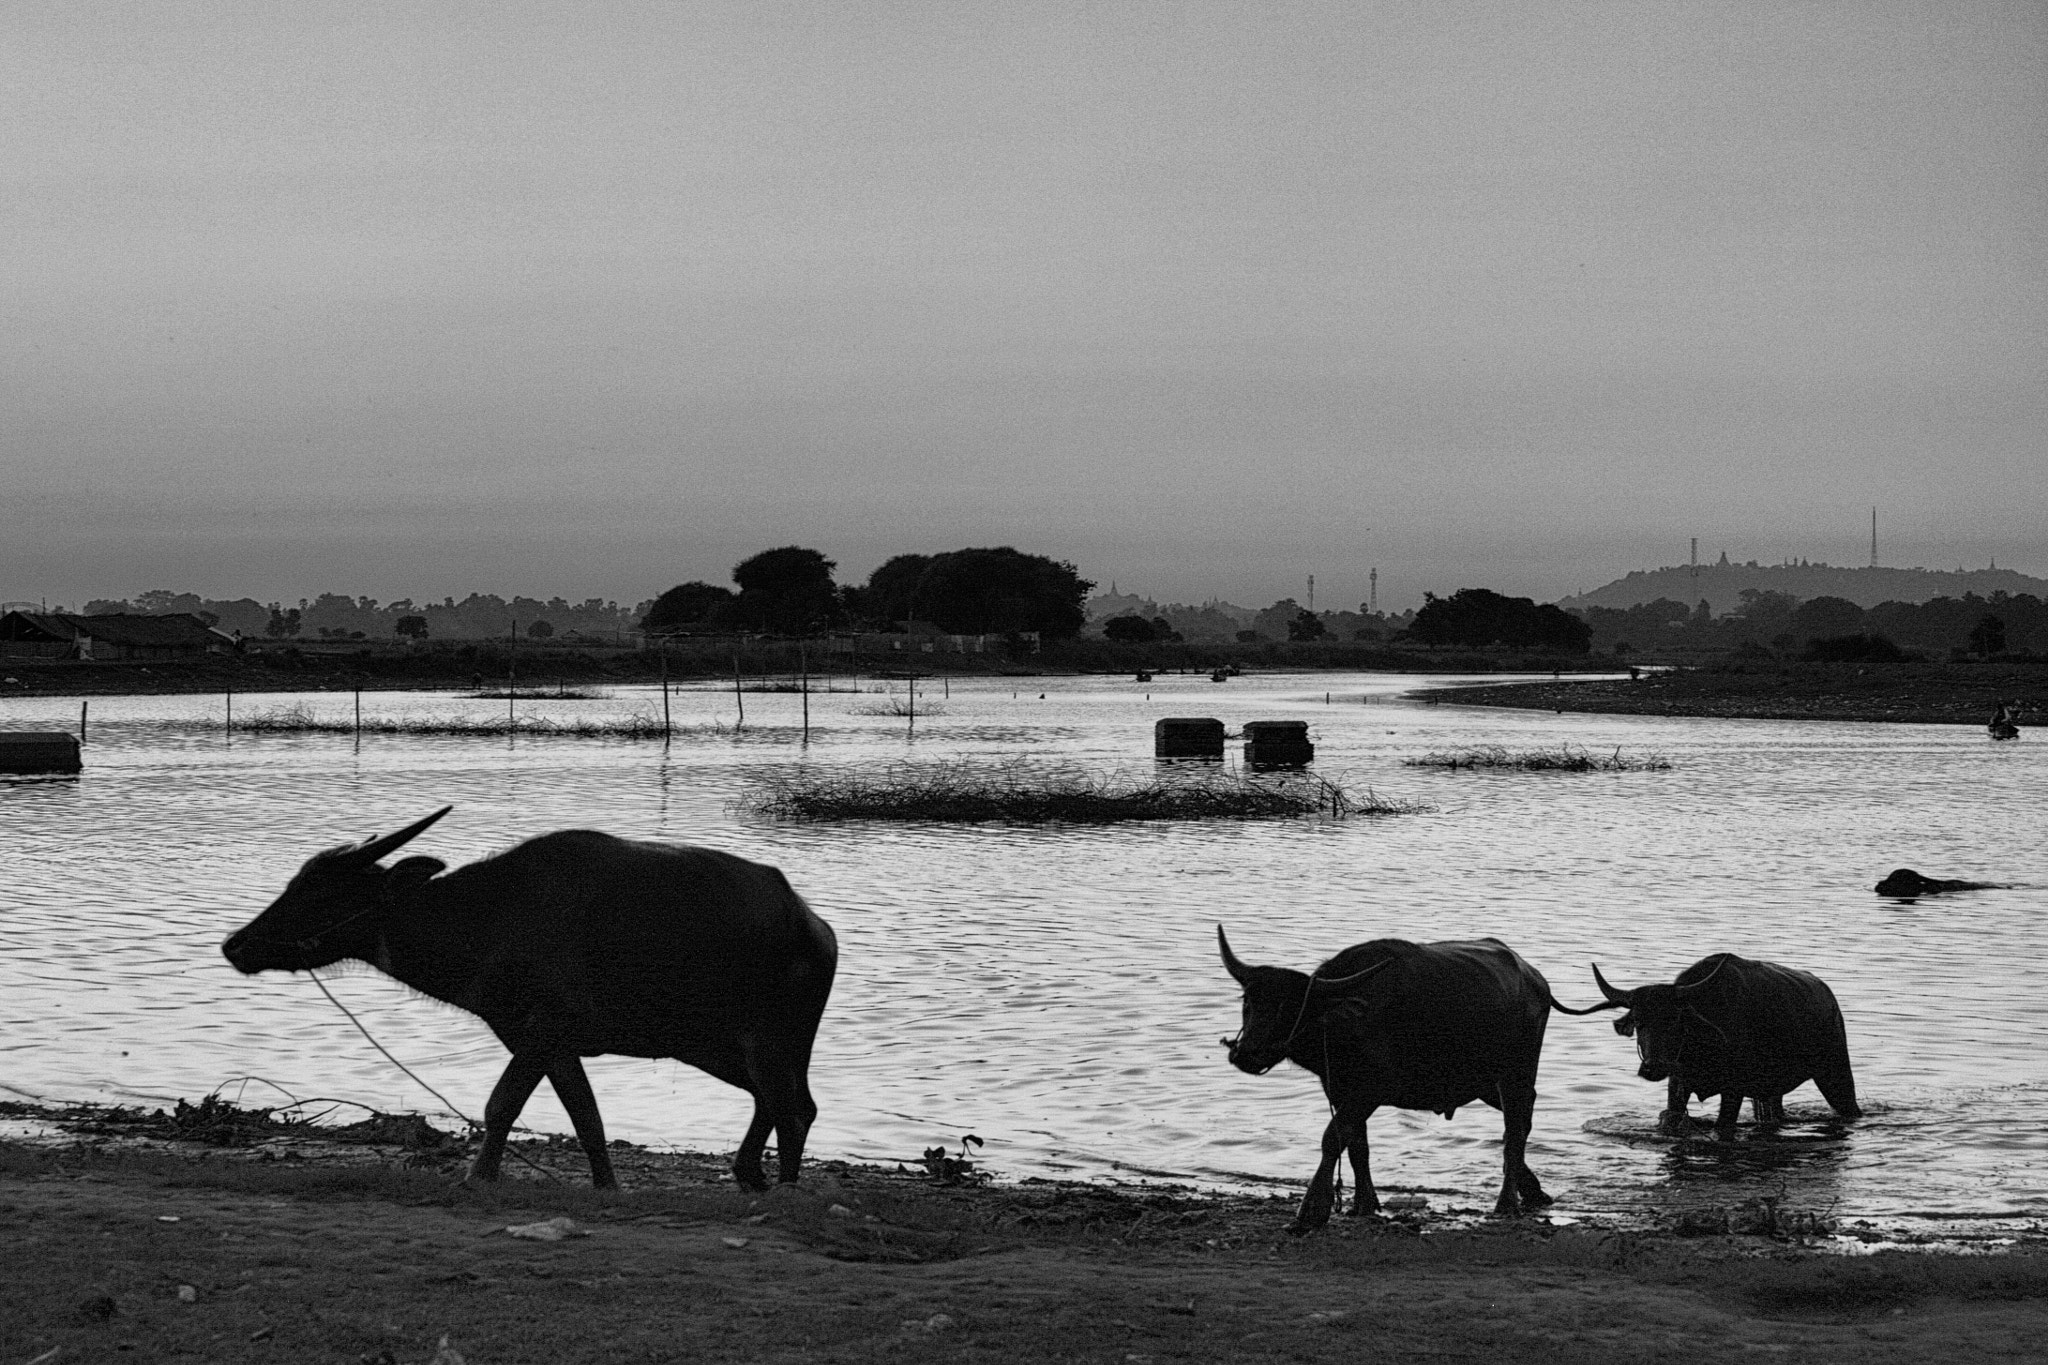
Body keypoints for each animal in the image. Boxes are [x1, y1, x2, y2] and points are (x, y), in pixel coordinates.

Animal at [222, 808, 838, 1191]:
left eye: (321, 892)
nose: (236, 944)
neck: (487, 919)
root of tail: (813, 925)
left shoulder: (543, 1032)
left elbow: (502, 1105)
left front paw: (477, 1176)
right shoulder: (546, 1041)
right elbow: (585, 1118)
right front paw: (605, 1185)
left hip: (769, 1041)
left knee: (794, 1105)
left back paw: (783, 1186)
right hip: (715, 1047)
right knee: (774, 1100)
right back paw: (749, 1174)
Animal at [1217, 927, 1600, 1231]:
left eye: (1290, 1008)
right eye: (1248, 1001)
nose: (1245, 1053)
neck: (1346, 1019)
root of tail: (1536, 981)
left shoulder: (1367, 1091)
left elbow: (1332, 1139)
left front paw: (1311, 1209)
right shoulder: (1340, 1090)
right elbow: (1357, 1148)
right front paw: (1365, 1204)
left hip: (1514, 1074)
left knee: (1515, 1130)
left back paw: (1506, 1204)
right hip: (1487, 1083)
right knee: (1523, 1119)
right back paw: (1532, 1191)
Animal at [1589, 954, 1859, 1138]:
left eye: (1675, 1020)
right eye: (1638, 1021)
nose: (1653, 1067)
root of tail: (1830, 1000)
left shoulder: (1733, 1090)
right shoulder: (1677, 1085)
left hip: (1836, 1074)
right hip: (1772, 1093)